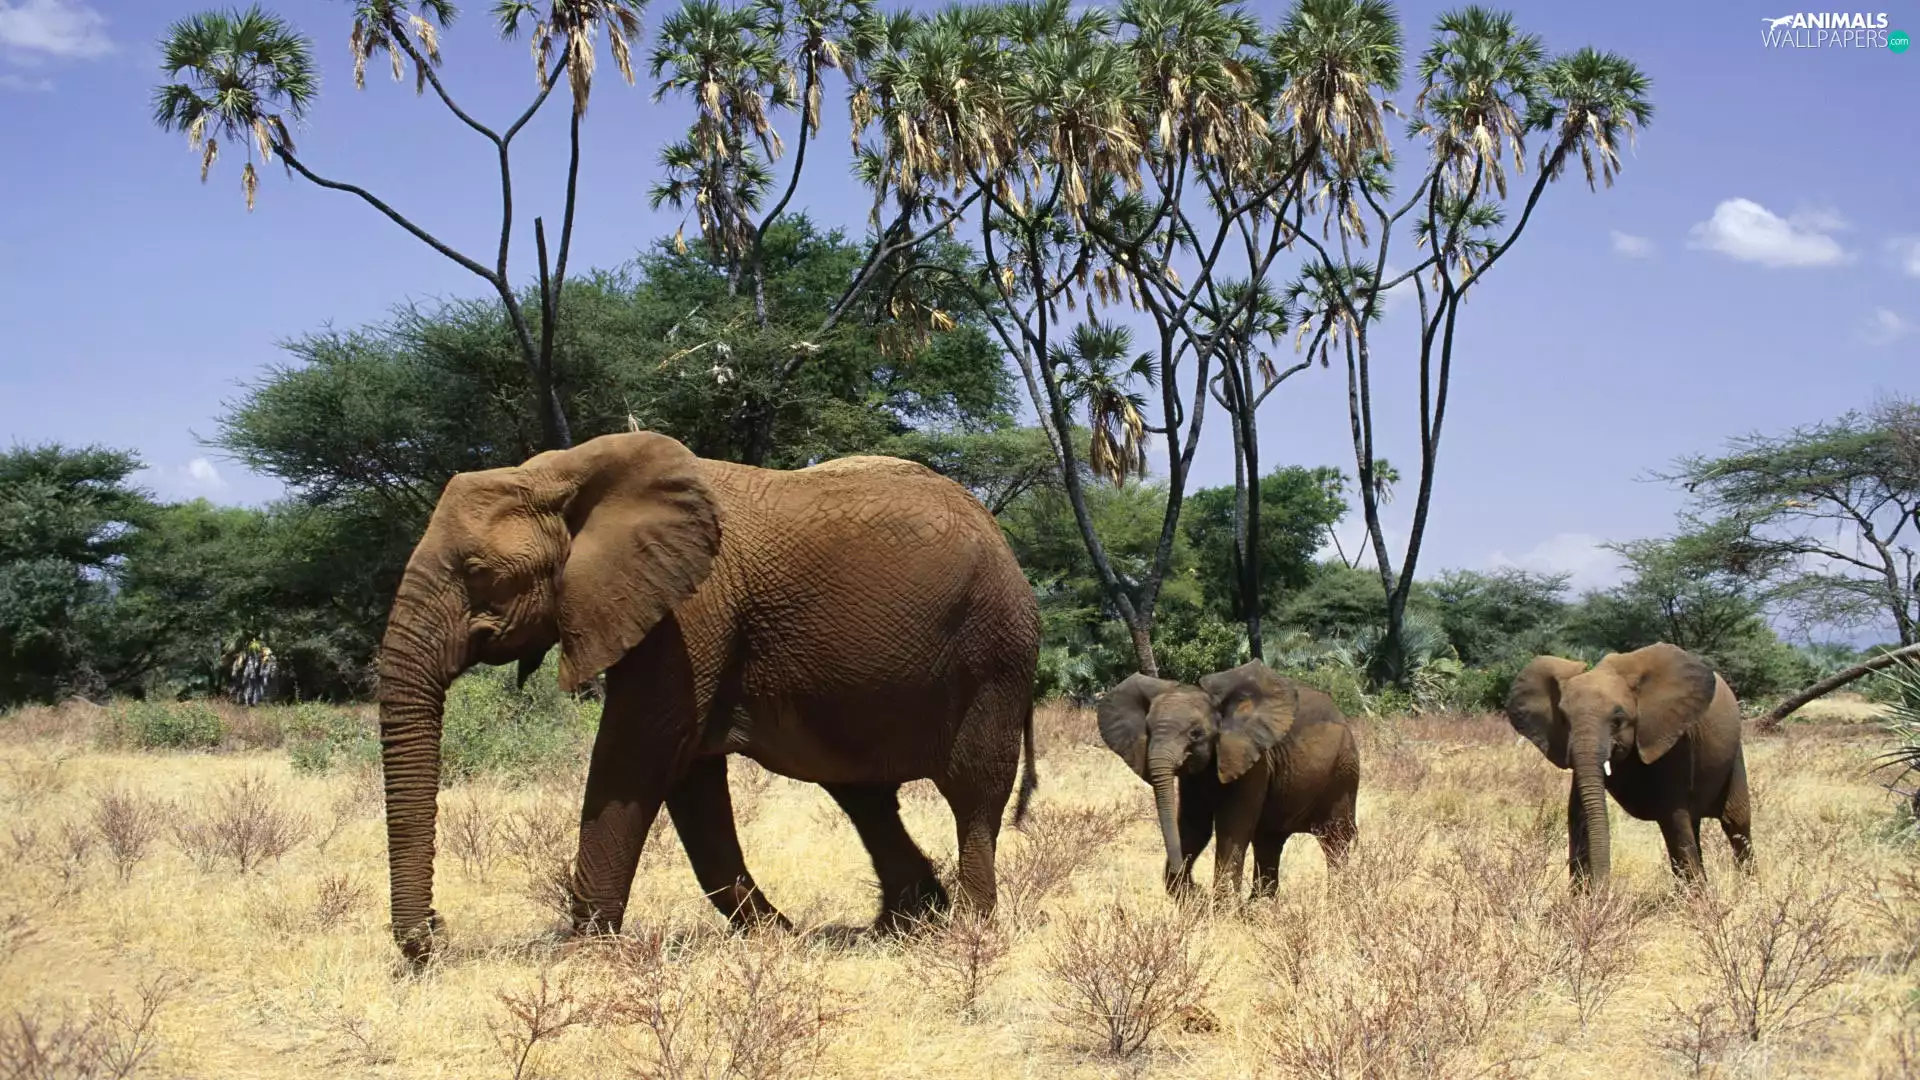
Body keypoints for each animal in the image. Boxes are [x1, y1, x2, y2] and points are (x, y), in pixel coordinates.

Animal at [374, 431, 1040, 962]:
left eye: (478, 572)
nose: (433, 933)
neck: (560, 474)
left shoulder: (691, 610)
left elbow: (639, 753)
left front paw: (583, 955)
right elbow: (691, 780)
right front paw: (777, 940)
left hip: (995, 652)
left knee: (972, 792)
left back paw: (968, 931)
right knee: (862, 795)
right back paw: (904, 924)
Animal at [1096, 661, 1359, 902]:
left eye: (1196, 734)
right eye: (1148, 730)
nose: (1195, 888)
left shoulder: (1254, 760)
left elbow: (1232, 826)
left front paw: (1222, 909)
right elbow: (1194, 827)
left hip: (1344, 773)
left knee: (1335, 840)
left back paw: (1337, 902)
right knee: (1269, 841)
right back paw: (1260, 906)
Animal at [1505, 642, 1753, 886]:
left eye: (1618, 720)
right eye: (1565, 721)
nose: (1604, 888)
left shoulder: (1674, 738)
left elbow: (1673, 816)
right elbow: (1578, 814)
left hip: (1734, 755)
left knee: (1734, 822)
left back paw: (1748, 886)